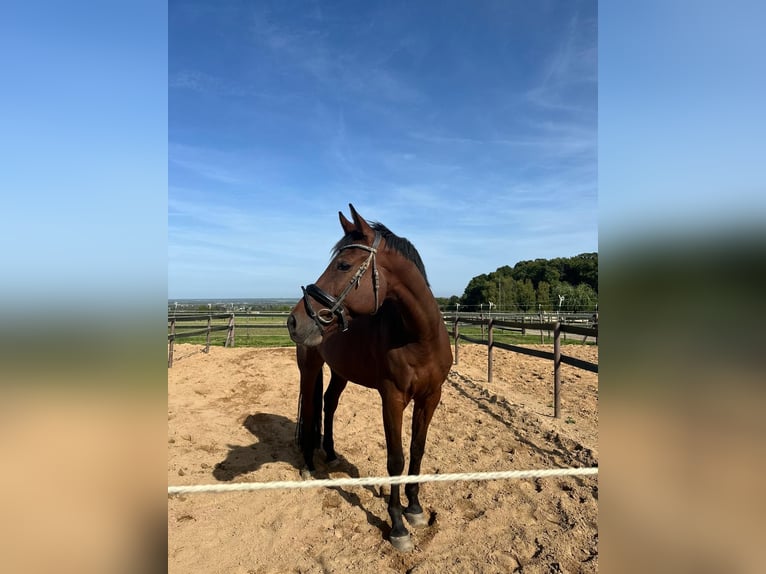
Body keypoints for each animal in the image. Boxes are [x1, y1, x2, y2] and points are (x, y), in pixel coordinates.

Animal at [287, 204, 453, 552]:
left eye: (343, 265)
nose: (295, 320)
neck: (419, 337)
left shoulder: (431, 396)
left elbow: (418, 449)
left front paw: (415, 508)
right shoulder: (392, 398)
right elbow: (395, 459)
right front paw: (398, 527)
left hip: (340, 372)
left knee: (329, 404)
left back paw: (331, 454)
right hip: (310, 368)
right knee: (309, 409)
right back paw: (309, 464)